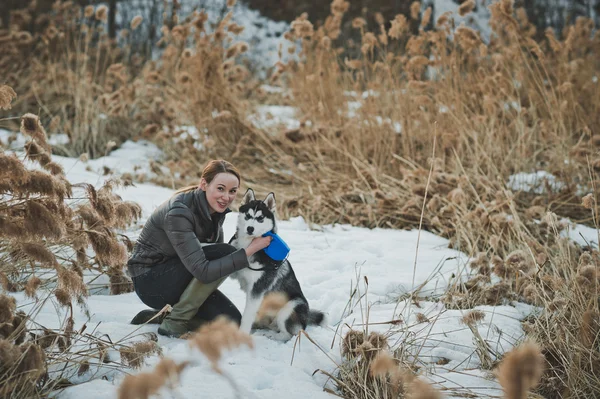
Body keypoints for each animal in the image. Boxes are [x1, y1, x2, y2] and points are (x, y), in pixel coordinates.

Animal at [229, 190, 324, 340]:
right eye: (248, 216)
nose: (250, 228)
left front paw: (241, 335)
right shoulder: (237, 273)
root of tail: (306, 318)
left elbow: (246, 316)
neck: (250, 246)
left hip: (291, 307)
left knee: (290, 334)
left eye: (260, 218)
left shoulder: (257, 289)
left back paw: (273, 336)